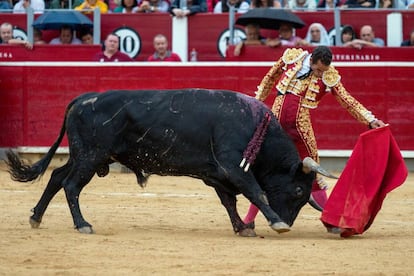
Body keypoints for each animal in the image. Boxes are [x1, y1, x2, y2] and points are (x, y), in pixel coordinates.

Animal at [4, 89, 332, 236]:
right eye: (299, 192)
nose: (289, 221)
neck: (256, 129)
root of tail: (83, 98)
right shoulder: (233, 167)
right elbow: (256, 193)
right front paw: (276, 222)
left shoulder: (218, 174)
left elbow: (229, 201)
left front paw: (243, 228)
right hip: (90, 156)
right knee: (71, 185)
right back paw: (83, 225)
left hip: (83, 155)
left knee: (57, 177)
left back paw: (36, 217)